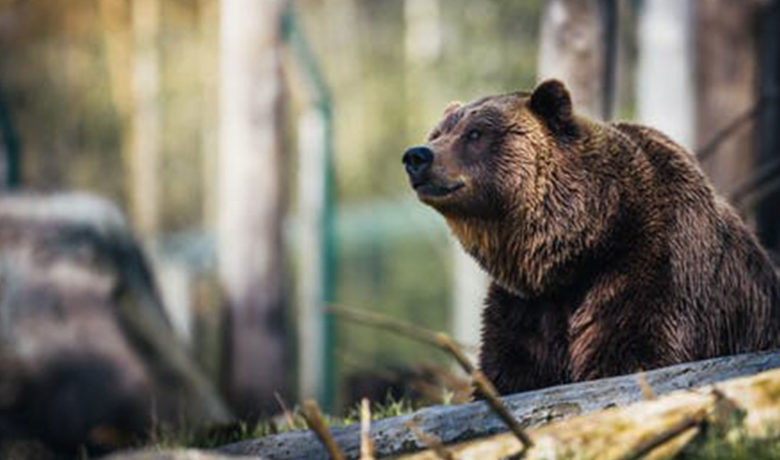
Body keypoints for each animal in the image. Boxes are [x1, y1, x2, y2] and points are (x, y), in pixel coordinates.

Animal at [402, 79, 780, 395]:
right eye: (438, 133)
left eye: (475, 133)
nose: (417, 155)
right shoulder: (526, 306)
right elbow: (509, 369)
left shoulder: (652, 267)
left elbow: (633, 353)